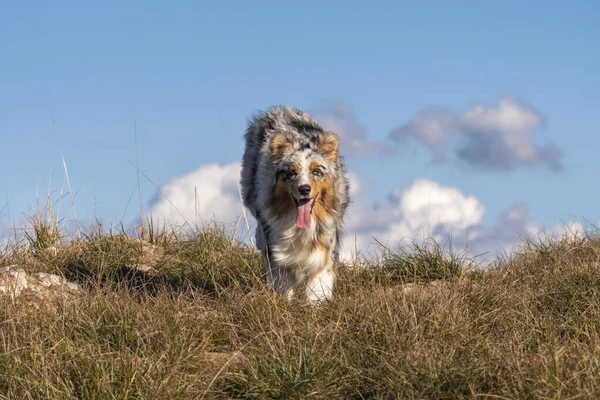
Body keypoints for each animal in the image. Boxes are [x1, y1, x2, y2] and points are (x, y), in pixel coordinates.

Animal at [240, 106, 352, 304]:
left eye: (316, 171)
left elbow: (318, 285)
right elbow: (282, 283)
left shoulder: (324, 246)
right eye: (291, 172)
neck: (299, 227)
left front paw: (315, 305)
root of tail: (279, 108)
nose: (304, 189)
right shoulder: (278, 251)